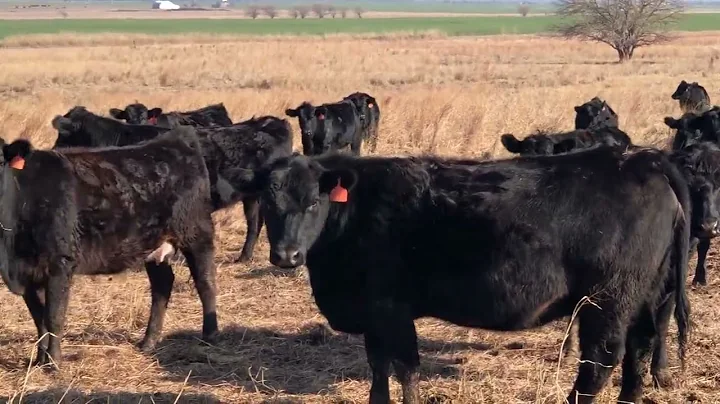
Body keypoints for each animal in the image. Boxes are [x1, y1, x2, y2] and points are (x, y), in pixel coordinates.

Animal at [0, 126, 218, 370]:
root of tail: (177, 138)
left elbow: (54, 316)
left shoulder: (60, 263)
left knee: (205, 281)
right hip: (153, 244)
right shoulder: (27, 275)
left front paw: (54, 362)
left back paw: (210, 336)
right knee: (162, 286)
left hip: (196, 233)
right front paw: (39, 360)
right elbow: (39, 320)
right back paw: (149, 342)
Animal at [226, 146, 690, 404]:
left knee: (600, 361)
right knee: (640, 348)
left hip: (607, 299)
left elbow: (406, 368)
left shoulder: (392, 310)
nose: (286, 255)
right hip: (644, 295)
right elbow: (378, 368)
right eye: (268, 202)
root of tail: (642, 159)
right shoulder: (373, 314)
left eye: (311, 203)